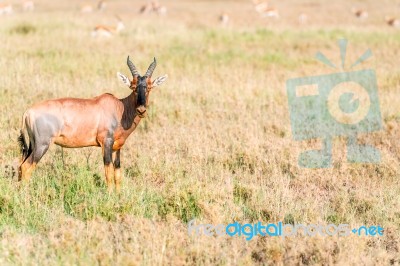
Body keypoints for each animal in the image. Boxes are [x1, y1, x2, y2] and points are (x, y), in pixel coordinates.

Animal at [16, 56, 167, 191]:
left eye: (149, 87)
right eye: (133, 87)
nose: (141, 110)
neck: (119, 107)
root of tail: (28, 112)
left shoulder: (117, 146)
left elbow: (117, 172)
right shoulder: (106, 143)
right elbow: (108, 172)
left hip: (33, 145)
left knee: (20, 166)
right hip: (42, 145)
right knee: (26, 167)